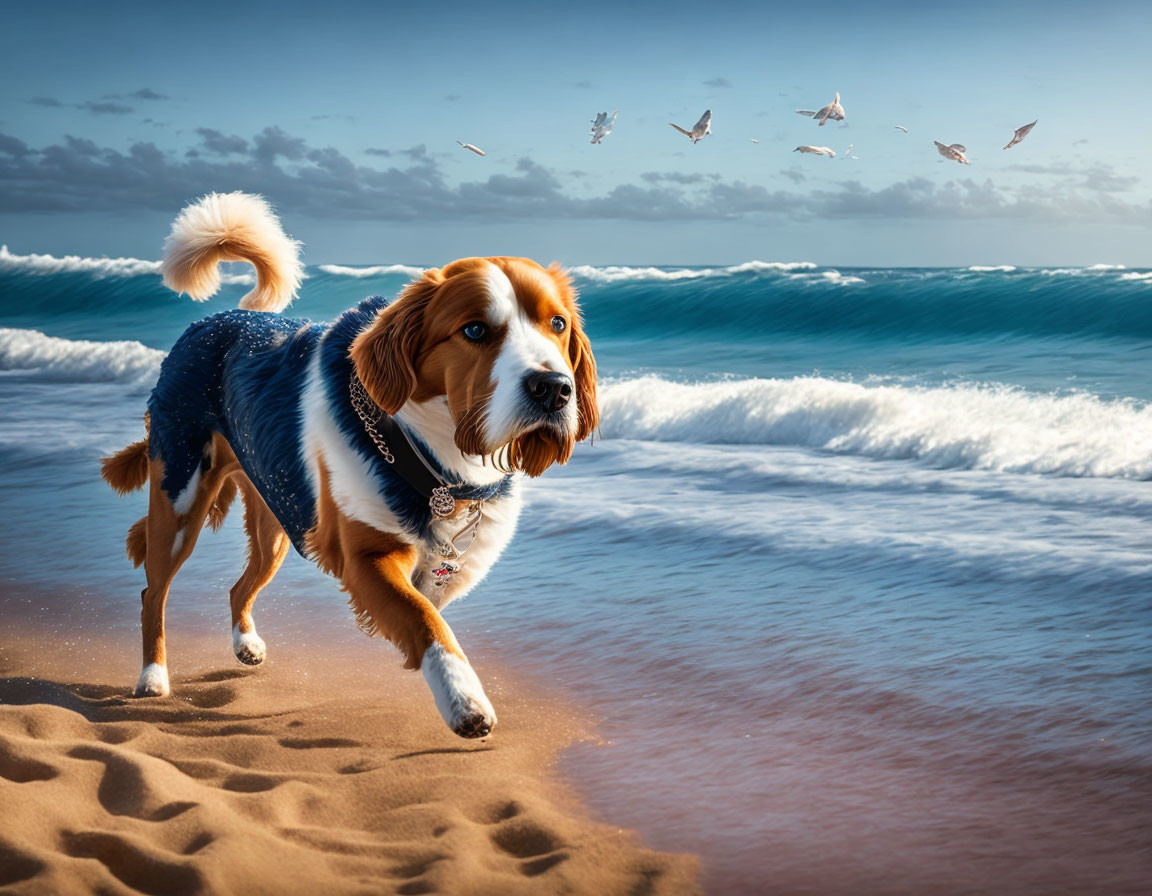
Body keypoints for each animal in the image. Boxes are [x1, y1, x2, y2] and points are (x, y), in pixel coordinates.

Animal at [100, 192, 599, 737]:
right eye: (474, 330)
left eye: (558, 324)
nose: (554, 389)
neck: (436, 459)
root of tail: (222, 318)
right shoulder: (367, 556)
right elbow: (426, 621)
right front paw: (465, 699)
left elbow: (429, 608)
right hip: (180, 502)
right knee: (153, 592)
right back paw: (153, 678)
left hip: (280, 518)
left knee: (238, 586)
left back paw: (245, 643)